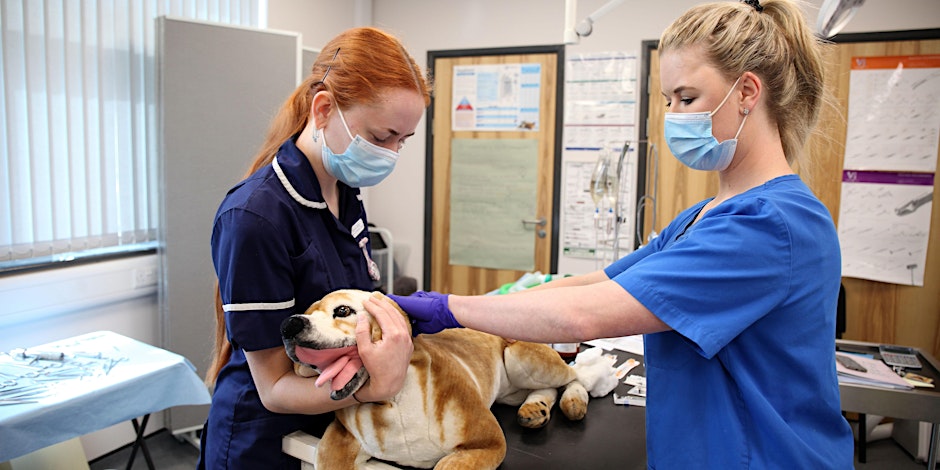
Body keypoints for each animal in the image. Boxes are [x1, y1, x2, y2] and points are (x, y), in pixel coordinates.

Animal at [280, 288, 588, 468]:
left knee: (576, 376)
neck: (393, 402)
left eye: (343, 310)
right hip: (512, 389)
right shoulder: (340, 439)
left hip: (522, 357)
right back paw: (536, 407)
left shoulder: (487, 442)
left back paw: (573, 399)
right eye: (306, 312)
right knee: (546, 390)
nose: (289, 325)